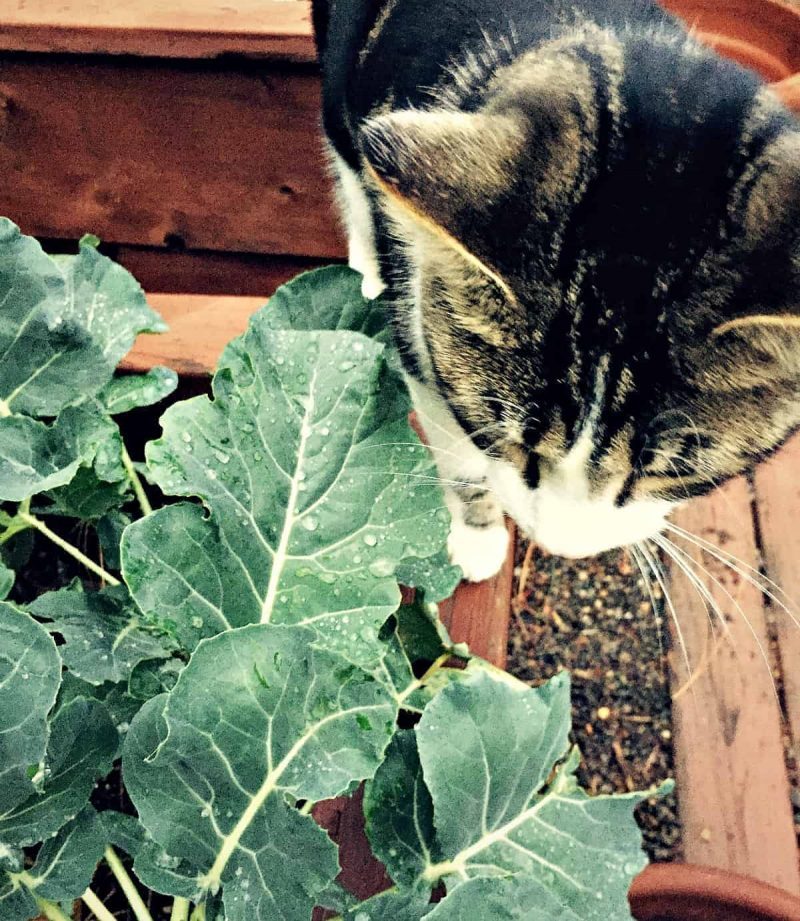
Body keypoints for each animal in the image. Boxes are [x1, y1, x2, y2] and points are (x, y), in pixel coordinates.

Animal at [310, 0, 800, 580]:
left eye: (670, 470)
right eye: (512, 440)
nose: (564, 546)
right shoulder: (422, 338)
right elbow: (459, 454)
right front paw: (477, 540)